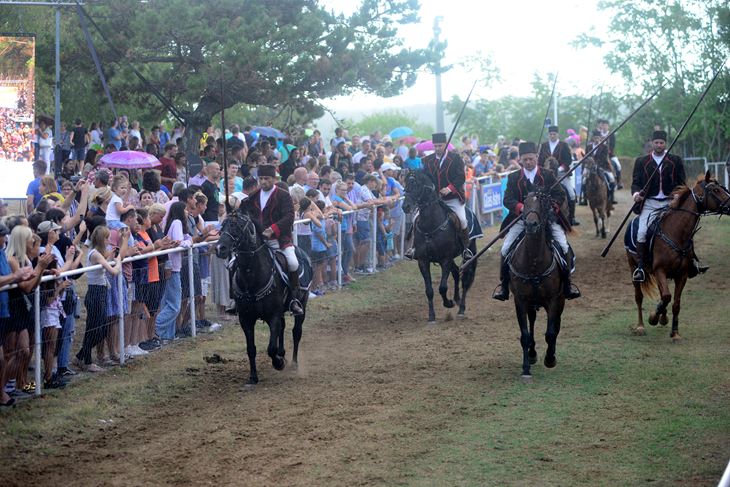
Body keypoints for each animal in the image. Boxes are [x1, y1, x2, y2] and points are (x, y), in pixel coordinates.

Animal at [216, 210, 308, 386]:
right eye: (222, 226)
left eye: (237, 226)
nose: (220, 248)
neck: (252, 277)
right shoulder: (246, 318)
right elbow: (251, 349)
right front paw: (253, 376)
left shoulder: (273, 315)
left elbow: (271, 348)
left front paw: (278, 363)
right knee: (283, 328)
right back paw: (283, 354)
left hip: (302, 305)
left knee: (296, 332)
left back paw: (293, 364)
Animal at [400, 170, 474, 322]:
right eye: (405, 184)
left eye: (416, 185)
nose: (406, 206)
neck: (430, 225)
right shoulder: (423, 261)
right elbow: (429, 290)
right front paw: (431, 316)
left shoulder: (445, 259)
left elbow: (443, 287)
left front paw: (448, 303)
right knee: (456, 272)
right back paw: (457, 299)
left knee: (465, 279)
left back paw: (461, 308)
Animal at [510, 191, 564, 382]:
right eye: (525, 204)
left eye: (541, 204)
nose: (531, 225)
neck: (533, 261)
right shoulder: (520, 301)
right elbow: (525, 335)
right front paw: (526, 369)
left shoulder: (553, 300)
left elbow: (550, 333)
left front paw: (550, 359)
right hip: (532, 304)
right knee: (532, 322)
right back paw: (532, 354)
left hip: (560, 301)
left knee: (556, 326)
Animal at [624, 173, 728, 342]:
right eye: (715, 190)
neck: (676, 233)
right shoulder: (660, 270)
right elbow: (666, 296)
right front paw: (653, 318)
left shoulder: (682, 275)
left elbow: (675, 303)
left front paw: (675, 332)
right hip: (633, 266)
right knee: (639, 296)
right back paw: (640, 326)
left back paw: (663, 318)